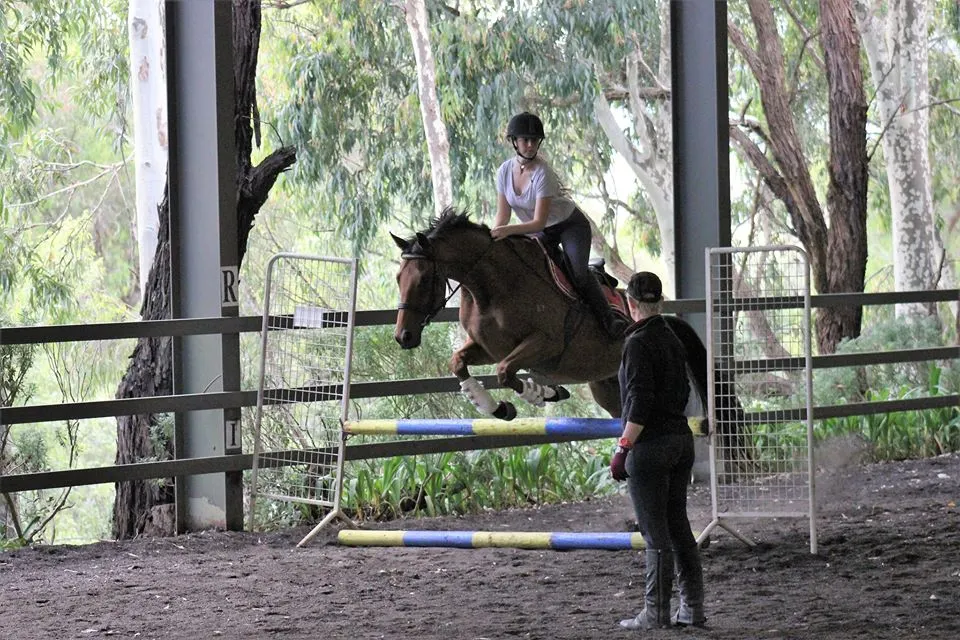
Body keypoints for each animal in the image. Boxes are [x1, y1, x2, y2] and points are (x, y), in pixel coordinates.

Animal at [384, 208, 712, 422]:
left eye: (424, 279)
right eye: (399, 277)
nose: (403, 337)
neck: (491, 287)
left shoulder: (546, 345)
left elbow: (505, 372)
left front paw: (540, 394)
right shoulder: (487, 348)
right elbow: (458, 362)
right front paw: (496, 408)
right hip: (608, 386)